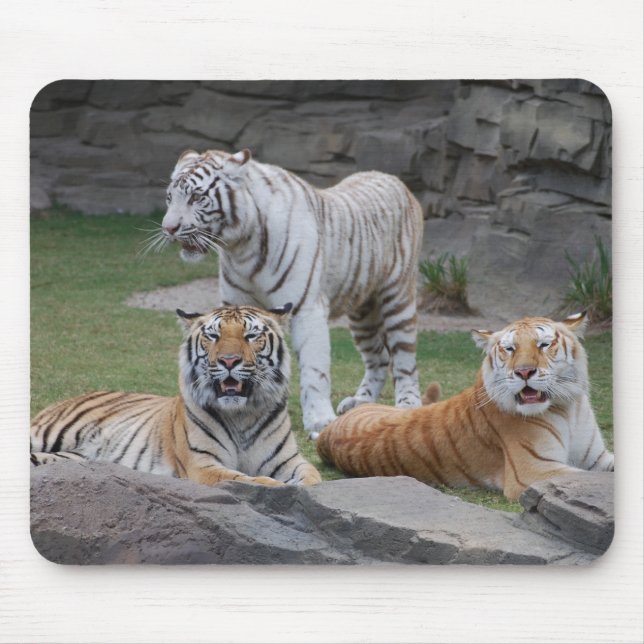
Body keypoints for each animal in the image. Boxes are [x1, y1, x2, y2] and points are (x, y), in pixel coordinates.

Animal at [31, 304, 321, 488]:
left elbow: (312, 476)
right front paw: (279, 487)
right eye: (213, 336)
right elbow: (249, 479)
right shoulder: (203, 465)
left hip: (71, 458)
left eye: (251, 336)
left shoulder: (288, 461)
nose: (229, 360)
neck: (242, 414)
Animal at [158, 148, 424, 438]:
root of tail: (394, 179)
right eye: (170, 197)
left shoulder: (306, 309)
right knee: (379, 358)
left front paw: (320, 421)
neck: (241, 248)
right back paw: (360, 402)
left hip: (398, 300)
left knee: (404, 361)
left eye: (197, 197)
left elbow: (314, 371)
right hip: (362, 312)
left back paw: (407, 405)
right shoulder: (234, 304)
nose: (168, 228)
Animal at [316, 312, 614, 501]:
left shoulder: (597, 458)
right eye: (509, 349)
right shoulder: (535, 470)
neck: (568, 406)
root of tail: (327, 432)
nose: (524, 372)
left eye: (543, 344)